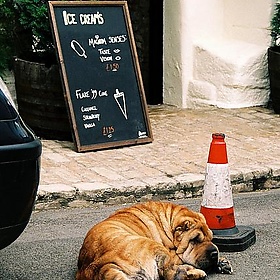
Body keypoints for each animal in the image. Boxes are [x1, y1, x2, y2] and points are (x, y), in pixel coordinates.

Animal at [75, 200, 231, 278]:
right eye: (195, 240)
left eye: (211, 238)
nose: (214, 253)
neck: (168, 222)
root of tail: (101, 266)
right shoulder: (172, 253)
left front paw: (222, 262)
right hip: (152, 246)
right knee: (170, 273)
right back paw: (195, 273)